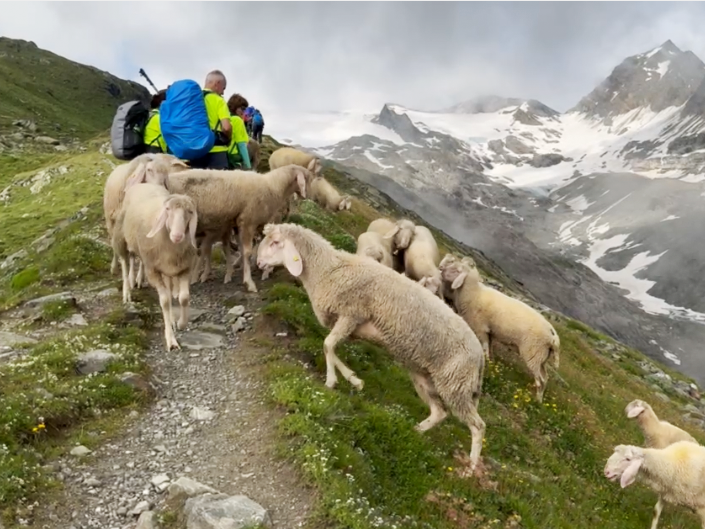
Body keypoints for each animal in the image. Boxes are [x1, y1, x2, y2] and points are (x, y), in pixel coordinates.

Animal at [111, 182, 198, 350]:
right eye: (168, 209)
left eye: (190, 211)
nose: (177, 236)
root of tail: (143, 183)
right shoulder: (153, 272)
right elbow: (164, 301)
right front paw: (171, 340)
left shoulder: (185, 269)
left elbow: (184, 297)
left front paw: (180, 323)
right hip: (121, 238)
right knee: (125, 263)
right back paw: (127, 291)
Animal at [166, 163, 310, 290]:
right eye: (307, 178)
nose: (307, 196)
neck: (272, 186)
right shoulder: (247, 222)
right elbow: (246, 252)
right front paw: (249, 282)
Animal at [256, 221, 486, 472]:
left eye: (275, 242)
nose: (258, 263)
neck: (329, 269)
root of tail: (481, 357)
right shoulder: (350, 325)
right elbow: (331, 348)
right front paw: (354, 380)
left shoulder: (352, 313)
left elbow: (327, 345)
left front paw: (331, 381)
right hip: (427, 376)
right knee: (439, 412)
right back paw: (415, 431)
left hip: (456, 384)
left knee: (478, 425)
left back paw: (471, 467)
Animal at [438, 254, 560, 402]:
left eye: (456, 269)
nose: (440, 269)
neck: (474, 293)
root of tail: (553, 336)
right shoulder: (490, 332)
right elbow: (489, 349)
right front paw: (491, 363)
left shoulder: (481, 329)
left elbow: (484, 348)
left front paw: (487, 364)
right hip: (541, 356)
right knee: (545, 378)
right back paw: (540, 400)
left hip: (533, 353)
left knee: (540, 380)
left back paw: (535, 400)